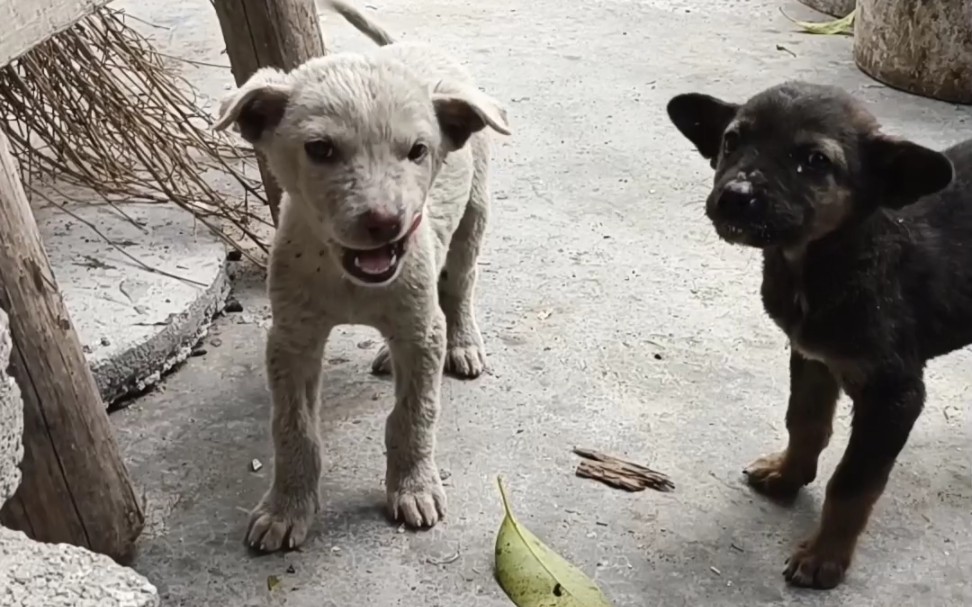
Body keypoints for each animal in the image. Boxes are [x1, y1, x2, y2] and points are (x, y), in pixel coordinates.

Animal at [216, 0, 512, 552]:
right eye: (321, 149)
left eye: (417, 150)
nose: (384, 222)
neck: (348, 277)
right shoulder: (291, 339)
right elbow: (292, 428)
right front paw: (286, 508)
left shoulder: (420, 329)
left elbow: (414, 415)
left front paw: (414, 487)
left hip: (473, 218)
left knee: (459, 287)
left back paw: (462, 343)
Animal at [668, 81, 972, 588]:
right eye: (731, 141)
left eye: (815, 161)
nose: (735, 196)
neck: (821, 261)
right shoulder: (811, 356)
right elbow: (805, 422)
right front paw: (788, 476)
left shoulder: (895, 395)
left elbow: (851, 484)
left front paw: (824, 557)